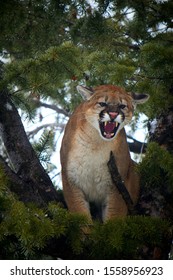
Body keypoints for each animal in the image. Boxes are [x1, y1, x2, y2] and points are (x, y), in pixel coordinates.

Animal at [59, 85, 149, 221]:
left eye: (122, 106)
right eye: (102, 103)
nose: (113, 114)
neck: (96, 143)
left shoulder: (117, 186)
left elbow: (114, 218)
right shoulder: (70, 180)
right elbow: (80, 214)